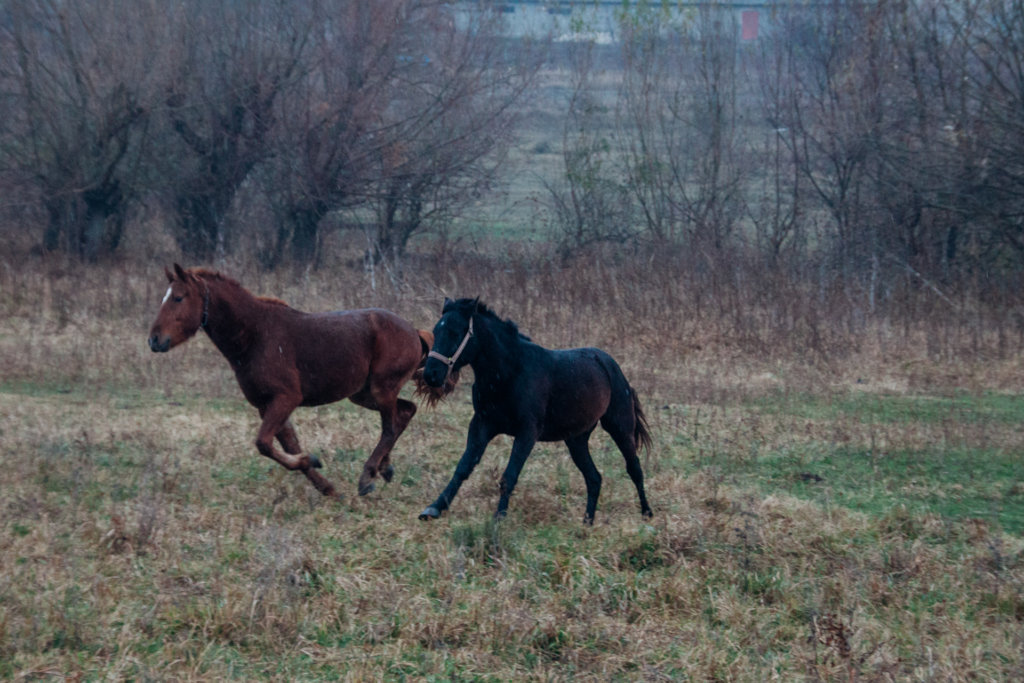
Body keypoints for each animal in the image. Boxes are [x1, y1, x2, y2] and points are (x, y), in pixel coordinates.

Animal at [148, 264, 433, 498]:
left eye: (178, 297)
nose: (154, 340)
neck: (254, 335)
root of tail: (414, 331)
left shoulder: (286, 398)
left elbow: (264, 443)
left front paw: (313, 462)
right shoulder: (265, 404)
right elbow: (287, 444)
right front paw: (326, 485)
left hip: (381, 389)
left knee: (389, 427)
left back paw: (367, 476)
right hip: (364, 394)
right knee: (404, 412)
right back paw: (384, 468)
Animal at [415, 297, 653, 524]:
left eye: (455, 332)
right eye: (436, 331)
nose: (431, 374)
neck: (509, 372)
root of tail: (611, 365)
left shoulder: (527, 432)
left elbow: (509, 476)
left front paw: (498, 519)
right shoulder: (482, 425)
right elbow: (463, 467)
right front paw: (433, 509)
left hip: (619, 428)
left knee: (634, 468)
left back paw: (646, 514)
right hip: (576, 440)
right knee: (594, 478)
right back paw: (587, 523)